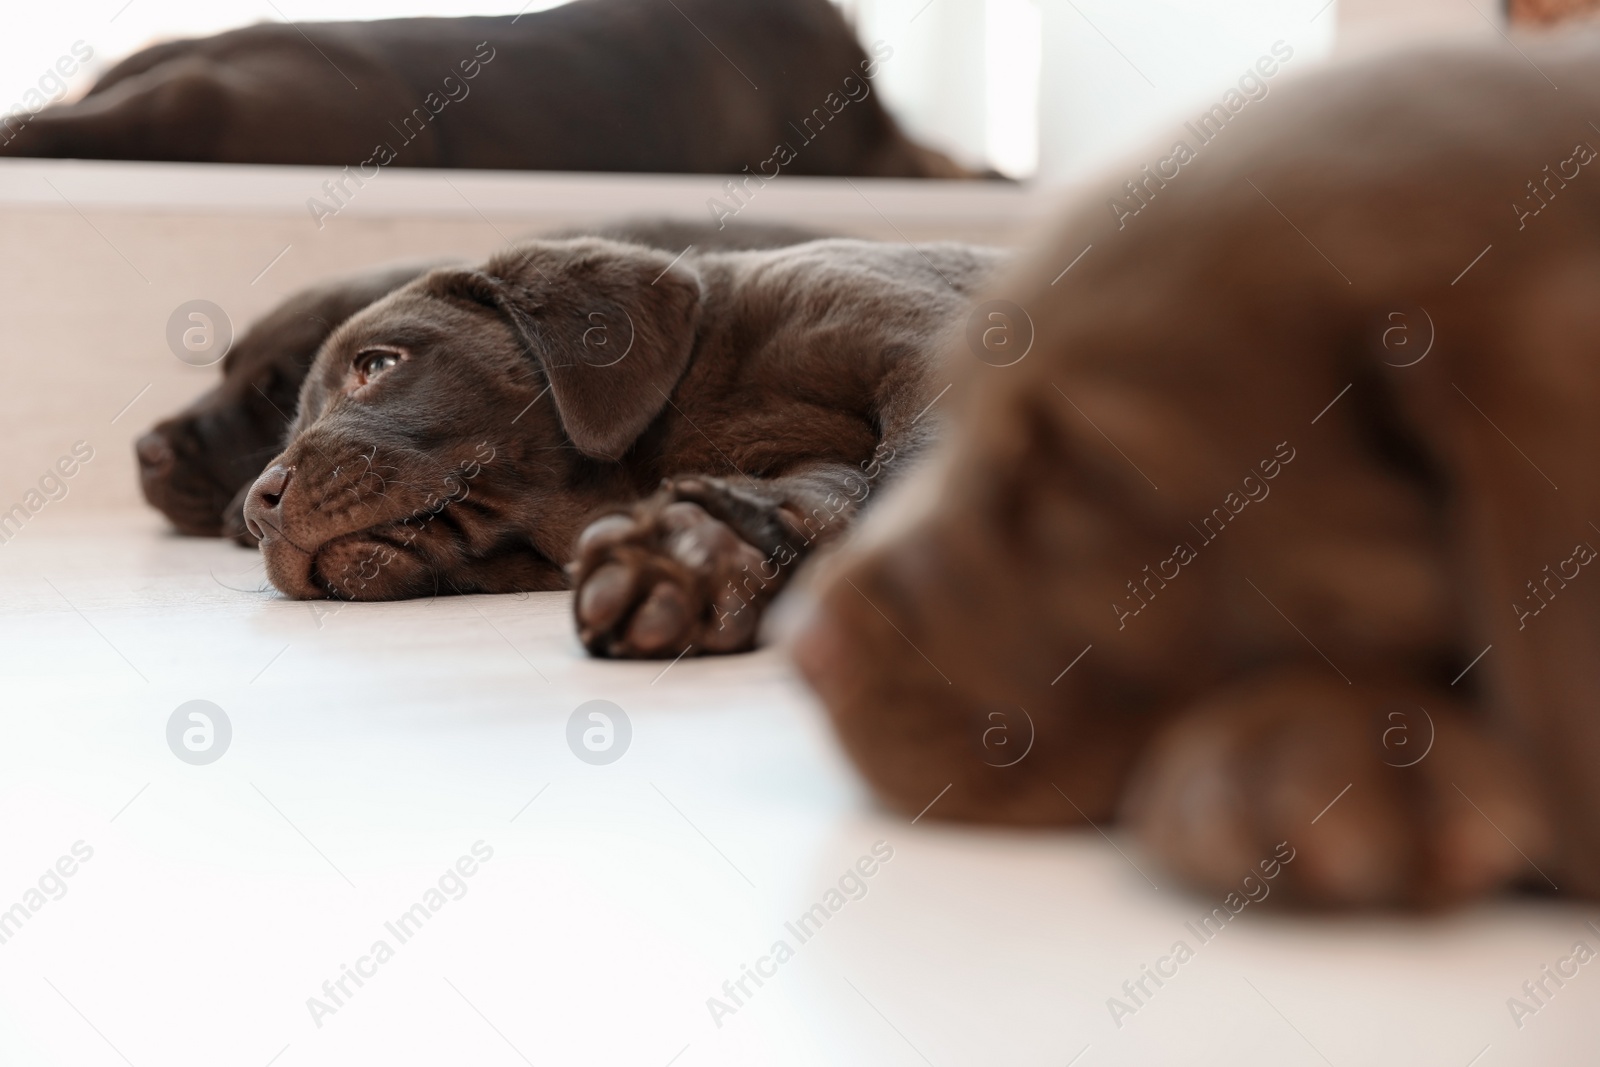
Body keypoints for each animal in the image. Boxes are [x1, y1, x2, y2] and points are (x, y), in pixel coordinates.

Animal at [238, 235, 998, 659]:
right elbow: (826, 492)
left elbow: (908, 464)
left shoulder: (924, 351)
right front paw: (700, 554)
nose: (256, 508)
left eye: (377, 364)